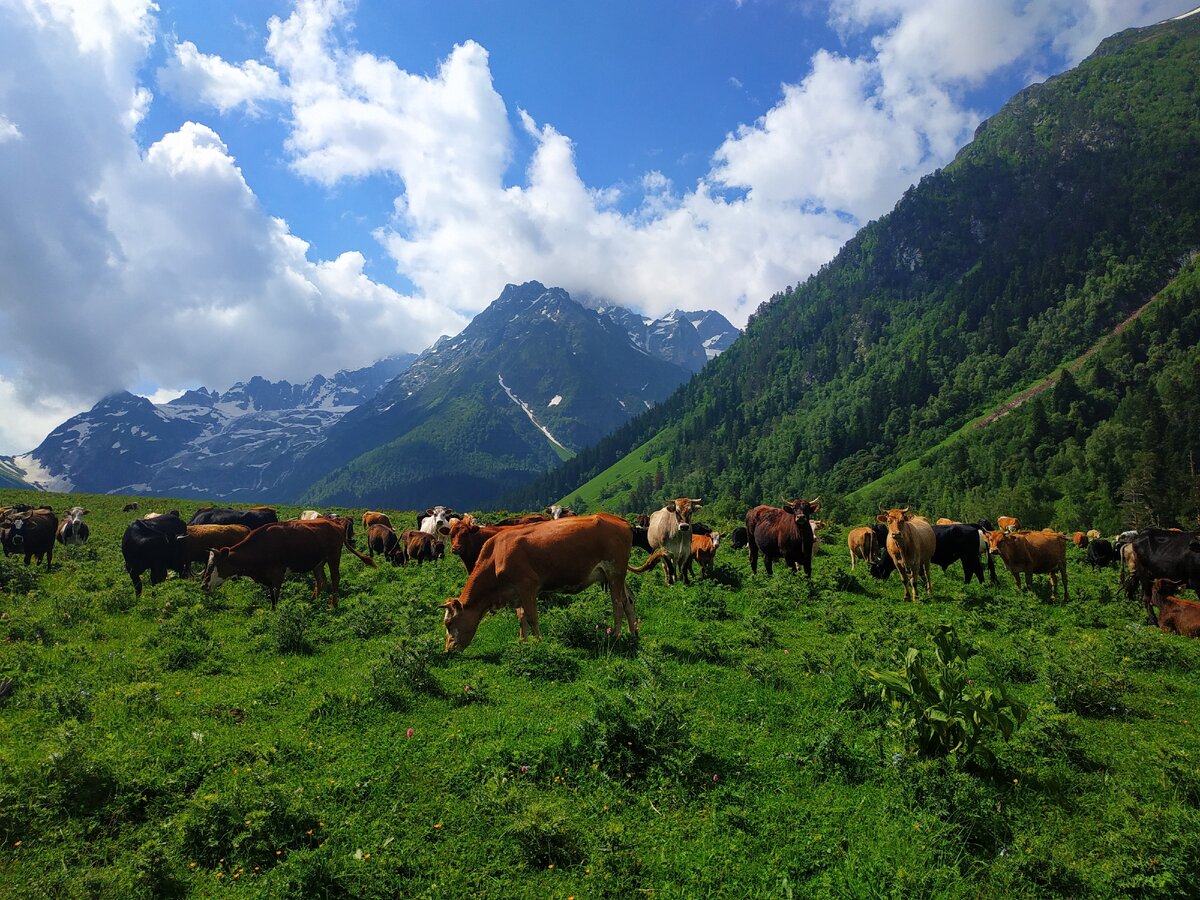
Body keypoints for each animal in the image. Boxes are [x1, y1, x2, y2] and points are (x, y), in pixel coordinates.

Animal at [202, 518, 374, 609]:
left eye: (212, 566)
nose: (203, 585)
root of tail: (334, 523)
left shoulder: (277, 574)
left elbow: (275, 596)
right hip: (317, 562)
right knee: (321, 580)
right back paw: (312, 602)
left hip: (334, 556)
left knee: (335, 578)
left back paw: (333, 604)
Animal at [441, 513, 638, 657]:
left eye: (449, 623)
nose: (448, 650)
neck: (496, 556)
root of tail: (619, 520)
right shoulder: (516, 592)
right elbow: (521, 618)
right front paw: (523, 643)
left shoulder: (527, 586)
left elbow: (531, 617)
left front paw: (538, 643)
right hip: (617, 575)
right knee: (629, 601)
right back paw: (633, 634)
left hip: (614, 572)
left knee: (618, 604)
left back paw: (616, 635)